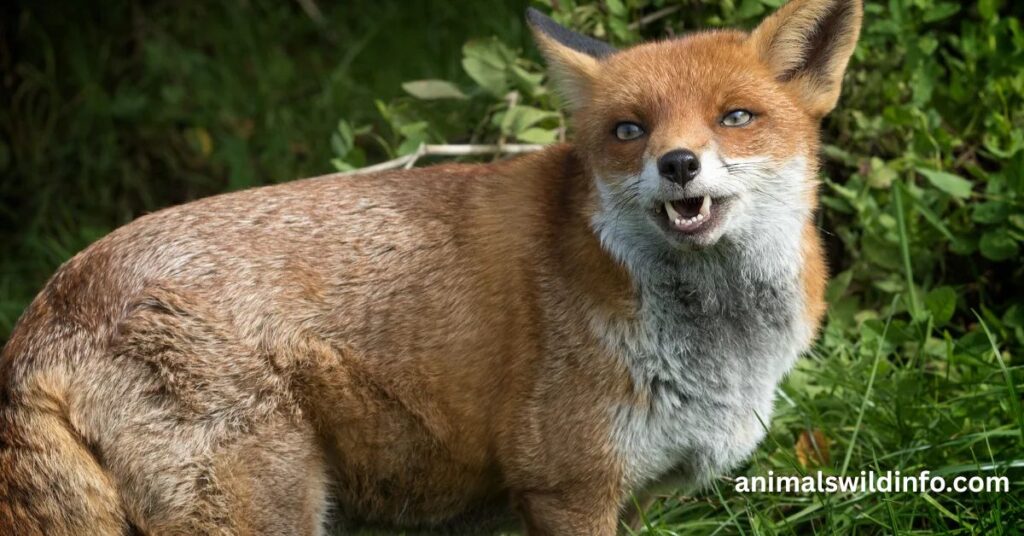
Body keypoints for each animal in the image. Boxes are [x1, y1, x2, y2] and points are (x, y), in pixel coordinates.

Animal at [0, 0, 861, 534]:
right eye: (628, 130)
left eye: (736, 116)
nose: (678, 164)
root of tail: (50, 303)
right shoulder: (568, 486)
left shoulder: (631, 493)